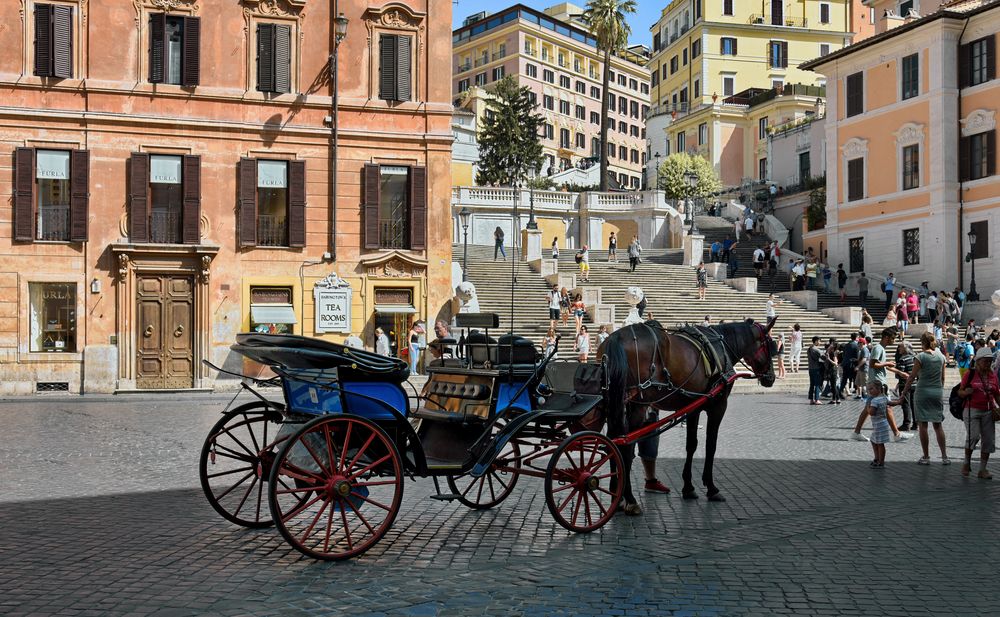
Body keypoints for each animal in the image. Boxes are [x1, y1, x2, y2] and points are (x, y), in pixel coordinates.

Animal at [596, 318, 776, 510]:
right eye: (770, 345)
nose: (771, 377)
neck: (721, 346)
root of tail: (616, 338)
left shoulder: (693, 407)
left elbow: (691, 445)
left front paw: (688, 487)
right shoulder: (718, 406)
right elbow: (711, 445)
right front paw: (711, 488)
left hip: (613, 402)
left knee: (612, 440)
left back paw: (616, 493)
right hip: (637, 405)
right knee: (626, 443)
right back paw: (629, 499)